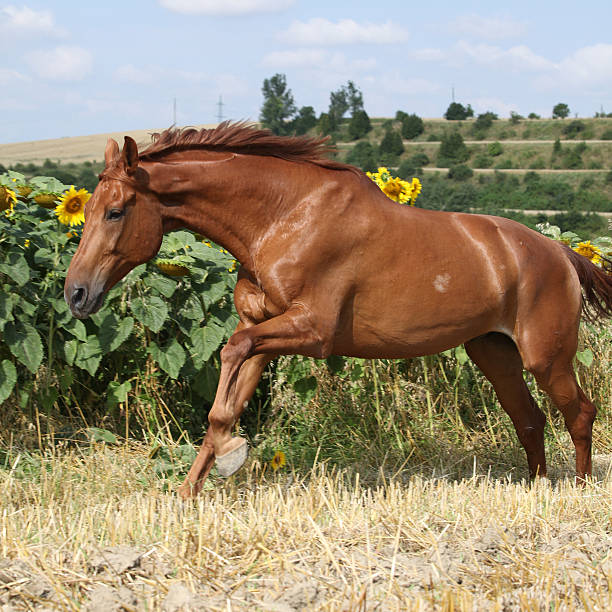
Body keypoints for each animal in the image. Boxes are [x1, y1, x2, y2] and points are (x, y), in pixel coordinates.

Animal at [63, 120, 612, 498]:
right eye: (85, 209)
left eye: (116, 211)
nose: (76, 294)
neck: (283, 215)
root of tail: (560, 252)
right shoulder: (264, 329)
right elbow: (227, 396)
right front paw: (191, 489)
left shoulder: (312, 331)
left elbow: (231, 354)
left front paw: (230, 456)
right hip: (494, 353)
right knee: (530, 419)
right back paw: (538, 488)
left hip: (546, 357)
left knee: (579, 413)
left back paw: (578, 490)